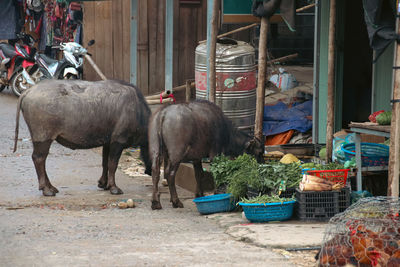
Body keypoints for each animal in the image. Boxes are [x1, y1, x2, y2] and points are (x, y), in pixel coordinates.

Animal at [14, 79, 152, 197]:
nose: (150, 172)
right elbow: (113, 164)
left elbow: (105, 163)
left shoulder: (107, 142)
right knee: (39, 159)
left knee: (41, 159)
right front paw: (113, 187)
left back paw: (51, 187)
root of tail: (29, 91)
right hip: (43, 138)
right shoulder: (118, 141)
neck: (137, 111)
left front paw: (103, 183)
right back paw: (46, 189)